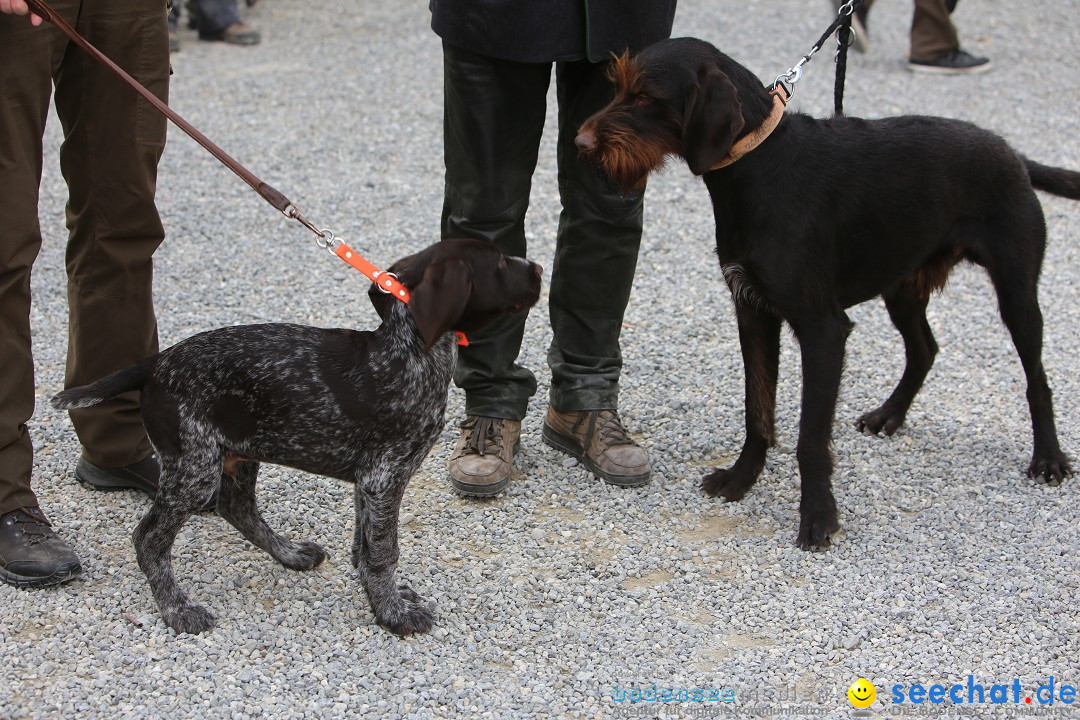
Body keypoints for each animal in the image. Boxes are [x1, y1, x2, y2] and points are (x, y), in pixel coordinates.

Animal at [52, 240, 540, 634]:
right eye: (499, 262)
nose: (536, 267)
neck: (410, 349)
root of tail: (155, 364)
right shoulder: (385, 477)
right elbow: (384, 551)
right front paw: (392, 614)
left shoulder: (370, 482)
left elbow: (365, 545)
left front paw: (381, 594)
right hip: (194, 468)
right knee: (150, 539)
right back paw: (177, 609)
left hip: (234, 454)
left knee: (238, 510)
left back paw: (288, 554)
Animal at [578, 38, 1075, 546]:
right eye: (619, 87)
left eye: (645, 97)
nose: (580, 143)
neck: (759, 166)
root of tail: (1012, 154)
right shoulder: (753, 313)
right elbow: (757, 411)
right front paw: (742, 477)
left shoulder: (823, 331)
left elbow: (810, 438)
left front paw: (818, 516)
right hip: (902, 285)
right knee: (924, 349)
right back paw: (889, 414)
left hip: (1016, 292)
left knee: (1037, 379)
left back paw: (1048, 458)